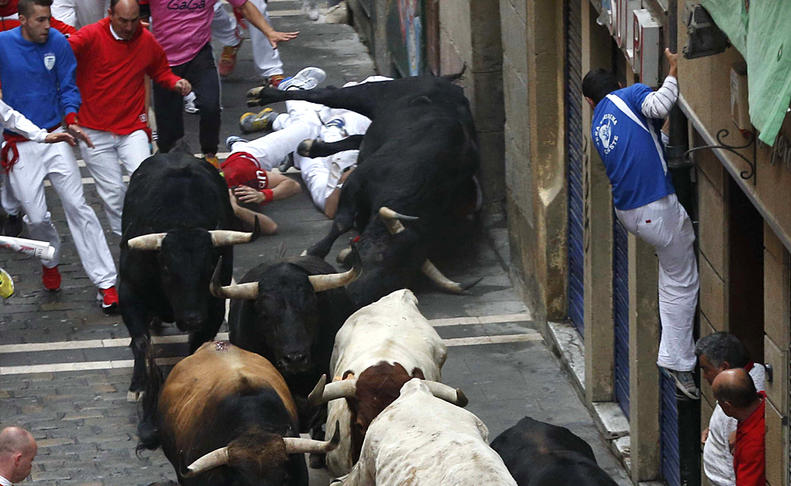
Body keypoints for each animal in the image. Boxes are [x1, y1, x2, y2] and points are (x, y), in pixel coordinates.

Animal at [119, 153, 255, 398]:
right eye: (165, 267)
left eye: (211, 265)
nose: (193, 318)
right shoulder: (128, 292)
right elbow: (140, 340)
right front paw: (139, 385)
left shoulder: (214, 306)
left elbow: (197, 348)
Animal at [251, 74, 480, 306]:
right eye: (378, 256)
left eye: (398, 277)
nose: (355, 297)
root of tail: (446, 83)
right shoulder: (358, 180)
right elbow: (342, 222)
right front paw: (313, 251)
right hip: (372, 94)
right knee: (326, 94)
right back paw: (262, 94)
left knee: (357, 138)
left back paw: (311, 146)